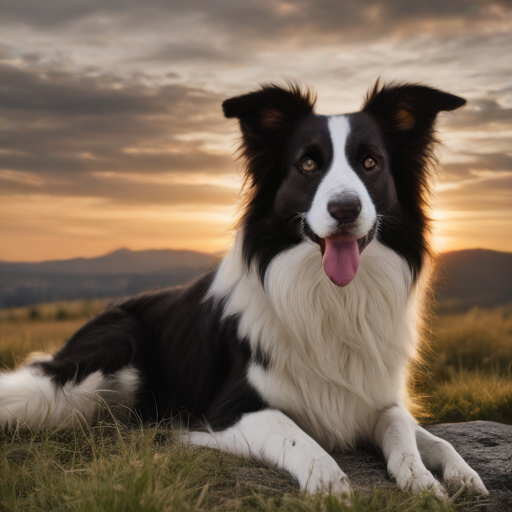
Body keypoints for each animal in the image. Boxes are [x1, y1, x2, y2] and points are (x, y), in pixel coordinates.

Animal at [0, 82, 488, 498]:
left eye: (371, 163)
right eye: (307, 164)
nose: (345, 208)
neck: (330, 299)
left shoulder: (371, 396)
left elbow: (409, 429)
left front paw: (437, 476)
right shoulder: (231, 411)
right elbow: (299, 439)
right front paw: (329, 483)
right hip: (90, 374)